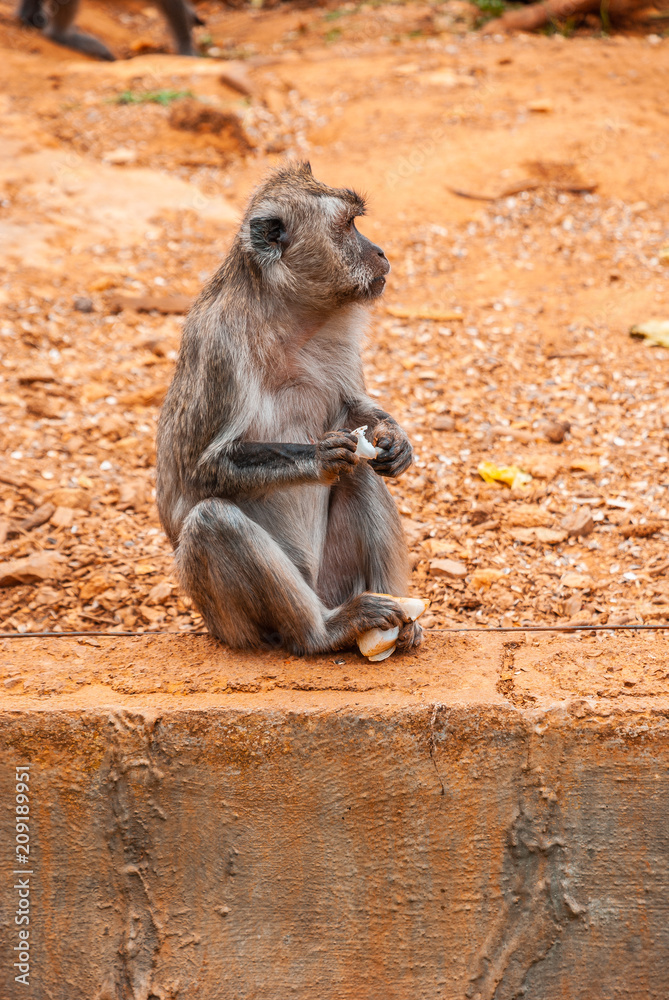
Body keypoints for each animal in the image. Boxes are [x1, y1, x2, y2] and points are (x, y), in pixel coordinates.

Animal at [156, 161, 422, 657]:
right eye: (348, 225)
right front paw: (319, 457)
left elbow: (353, 409)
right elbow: (200, 471)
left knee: (361, 474)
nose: (380, 251)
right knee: (212, 521)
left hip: (336, 578)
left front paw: (395, 440)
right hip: (234, 623)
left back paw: (398, 618)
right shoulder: (217, 347)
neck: (287, 319)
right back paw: (324, 632)